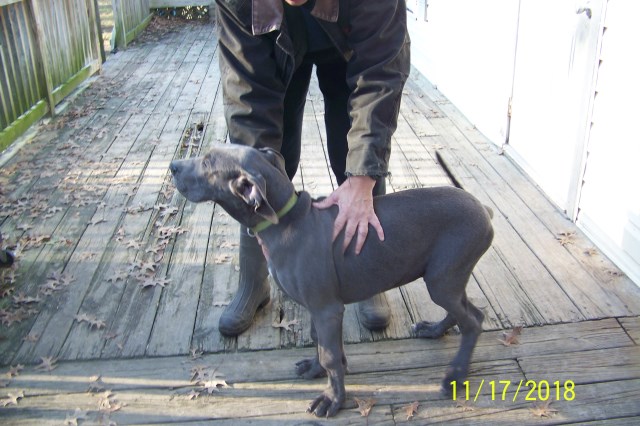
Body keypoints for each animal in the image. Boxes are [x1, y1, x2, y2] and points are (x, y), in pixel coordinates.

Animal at [170, 145, 496, 418]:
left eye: (208, 162)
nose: (173, 166)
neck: (287, 222)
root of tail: (483, 209)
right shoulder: (319, 307)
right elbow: (321, 344)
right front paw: (316, 369)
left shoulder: (327, 308)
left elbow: (329, 355)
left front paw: (332, 399)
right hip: (446, 276)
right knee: (465, 311)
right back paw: (434, 331)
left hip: (443, 277)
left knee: (473, 321)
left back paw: (455, 375)